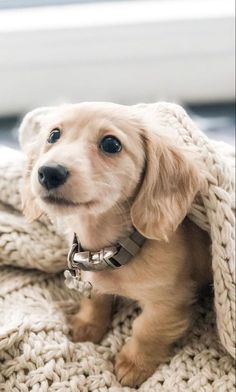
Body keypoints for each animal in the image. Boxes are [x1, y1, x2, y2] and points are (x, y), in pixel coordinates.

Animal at [19, 102, 212, 388]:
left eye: (111, 143)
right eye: (53, 135)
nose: (49, 172)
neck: (107, 249)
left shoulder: (168, 299)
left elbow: (147, 329)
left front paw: (134, 364)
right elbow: (96, 301)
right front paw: (88, 324)